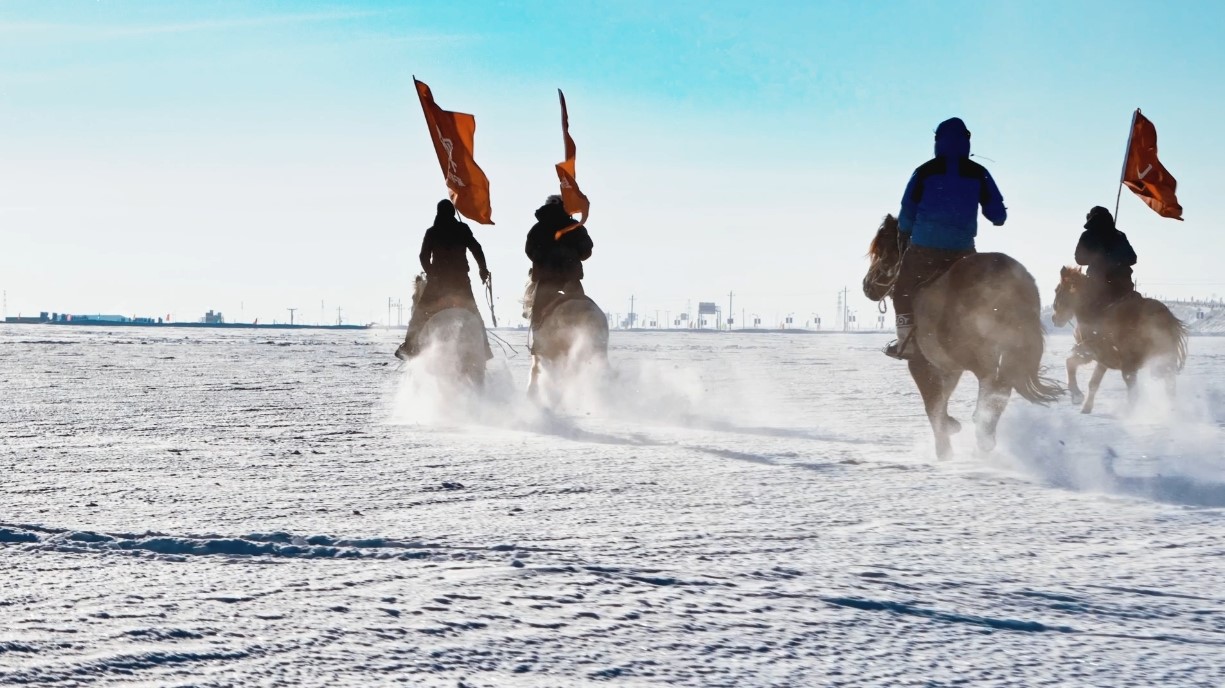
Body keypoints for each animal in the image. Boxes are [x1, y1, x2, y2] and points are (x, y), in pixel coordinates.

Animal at [863, 214, 1062, 459]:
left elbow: (932, 403)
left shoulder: (921, 362)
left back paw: (982, 429)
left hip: (973, 352)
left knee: (991, 382)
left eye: (881, 251)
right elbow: (941, 398)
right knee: (1002, 386)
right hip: (1009, 347)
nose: (867, 286)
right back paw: (985, 432)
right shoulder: (949, 367)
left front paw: (944, 448)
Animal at [1051, 266, 1187, 414]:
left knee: (1136, 391)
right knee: (1169, 387)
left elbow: (1069, 363)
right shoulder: (1102, 360)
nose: (1055, 319)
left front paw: (1077, 396)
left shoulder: (1088, 353)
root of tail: (1165, 317)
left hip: (1131, 365)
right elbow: (1093, 383)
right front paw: (1086, 407)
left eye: (1058, 290)